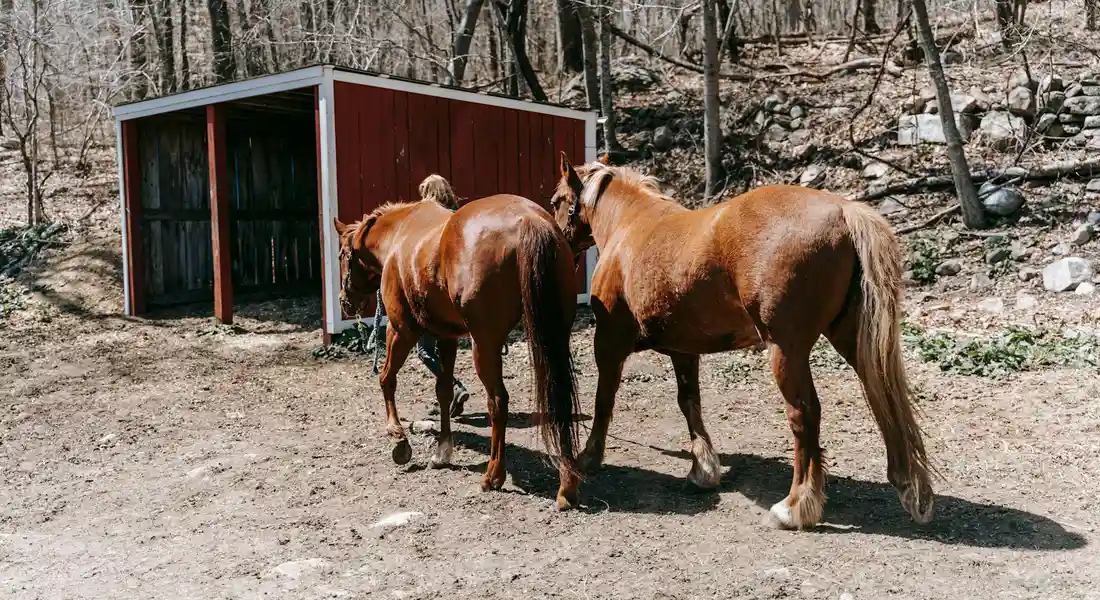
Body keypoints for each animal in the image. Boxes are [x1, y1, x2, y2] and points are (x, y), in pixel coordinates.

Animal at [334, 174, 583, 509]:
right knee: (559, 394)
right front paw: (443, 450)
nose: (344, 302)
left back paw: (493, 475)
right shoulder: (447, 336)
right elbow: (443, 389)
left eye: (341, 256)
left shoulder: (401, 330)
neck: (399, 235)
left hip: (484, 345)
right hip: (553, 337)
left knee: (498, 401)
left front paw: (398, 438)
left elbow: (387, 379)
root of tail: (530, 221)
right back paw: (567, 484)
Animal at [547, 153, 934, 529]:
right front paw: (703, 469)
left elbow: (604, 400)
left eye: (556, 201)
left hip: (786, 351)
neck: (630, 226)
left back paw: (794, 507)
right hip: (852, 340)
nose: (560, 240)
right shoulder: (684, 350)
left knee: (805, 415)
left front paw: (589, 456)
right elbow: (689, 402)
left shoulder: (609, 343)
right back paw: (909, 488)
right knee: (882, 397)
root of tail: (844, 210)